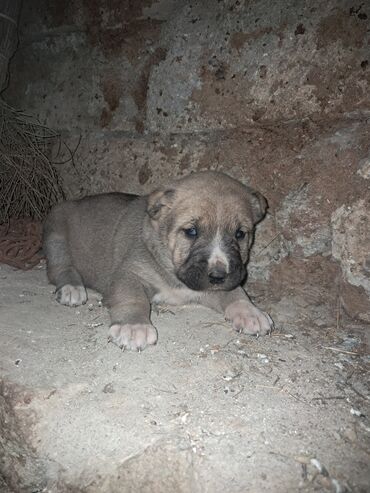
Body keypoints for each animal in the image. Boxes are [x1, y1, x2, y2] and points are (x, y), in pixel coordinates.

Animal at [44, 171, 274, 352]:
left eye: (240, 234)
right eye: (191, 231)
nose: (218, 276)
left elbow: (235, 292)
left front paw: (250, 312)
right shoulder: (129, 274)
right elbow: (133, 298)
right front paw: (134, 326)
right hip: (56, 239)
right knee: (60, 269)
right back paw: (72, 288)